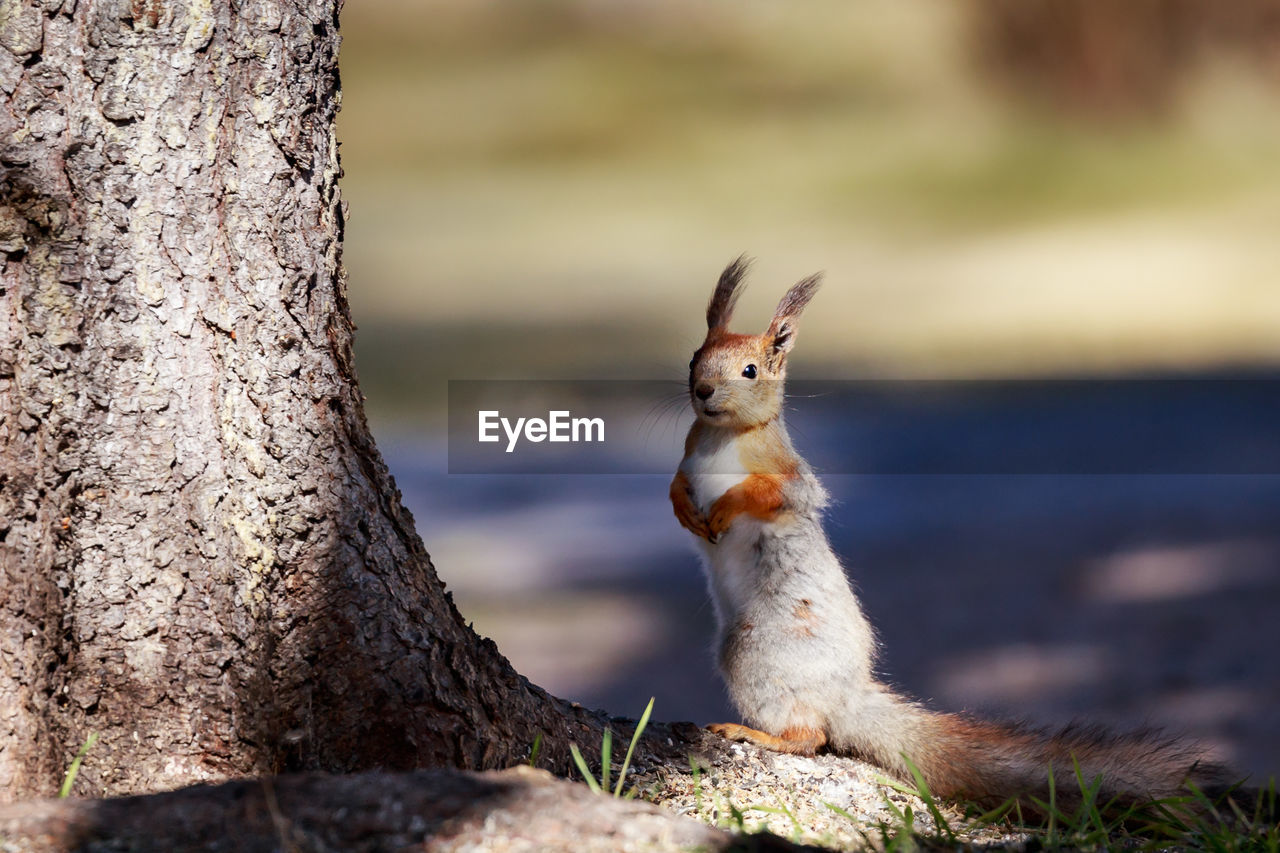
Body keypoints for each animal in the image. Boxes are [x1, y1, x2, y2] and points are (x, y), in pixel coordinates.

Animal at [675, 257, 1233, 809]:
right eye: (694, 358)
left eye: (750, 370)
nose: (703, 392)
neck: (723, 436)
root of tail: (848, 696)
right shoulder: (688, 457)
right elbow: (678, 484)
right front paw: (685, 509)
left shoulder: (789, 478)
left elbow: (768, 494)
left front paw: (723, 509)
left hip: (758, 651)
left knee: (812, 737)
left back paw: (754, 733)